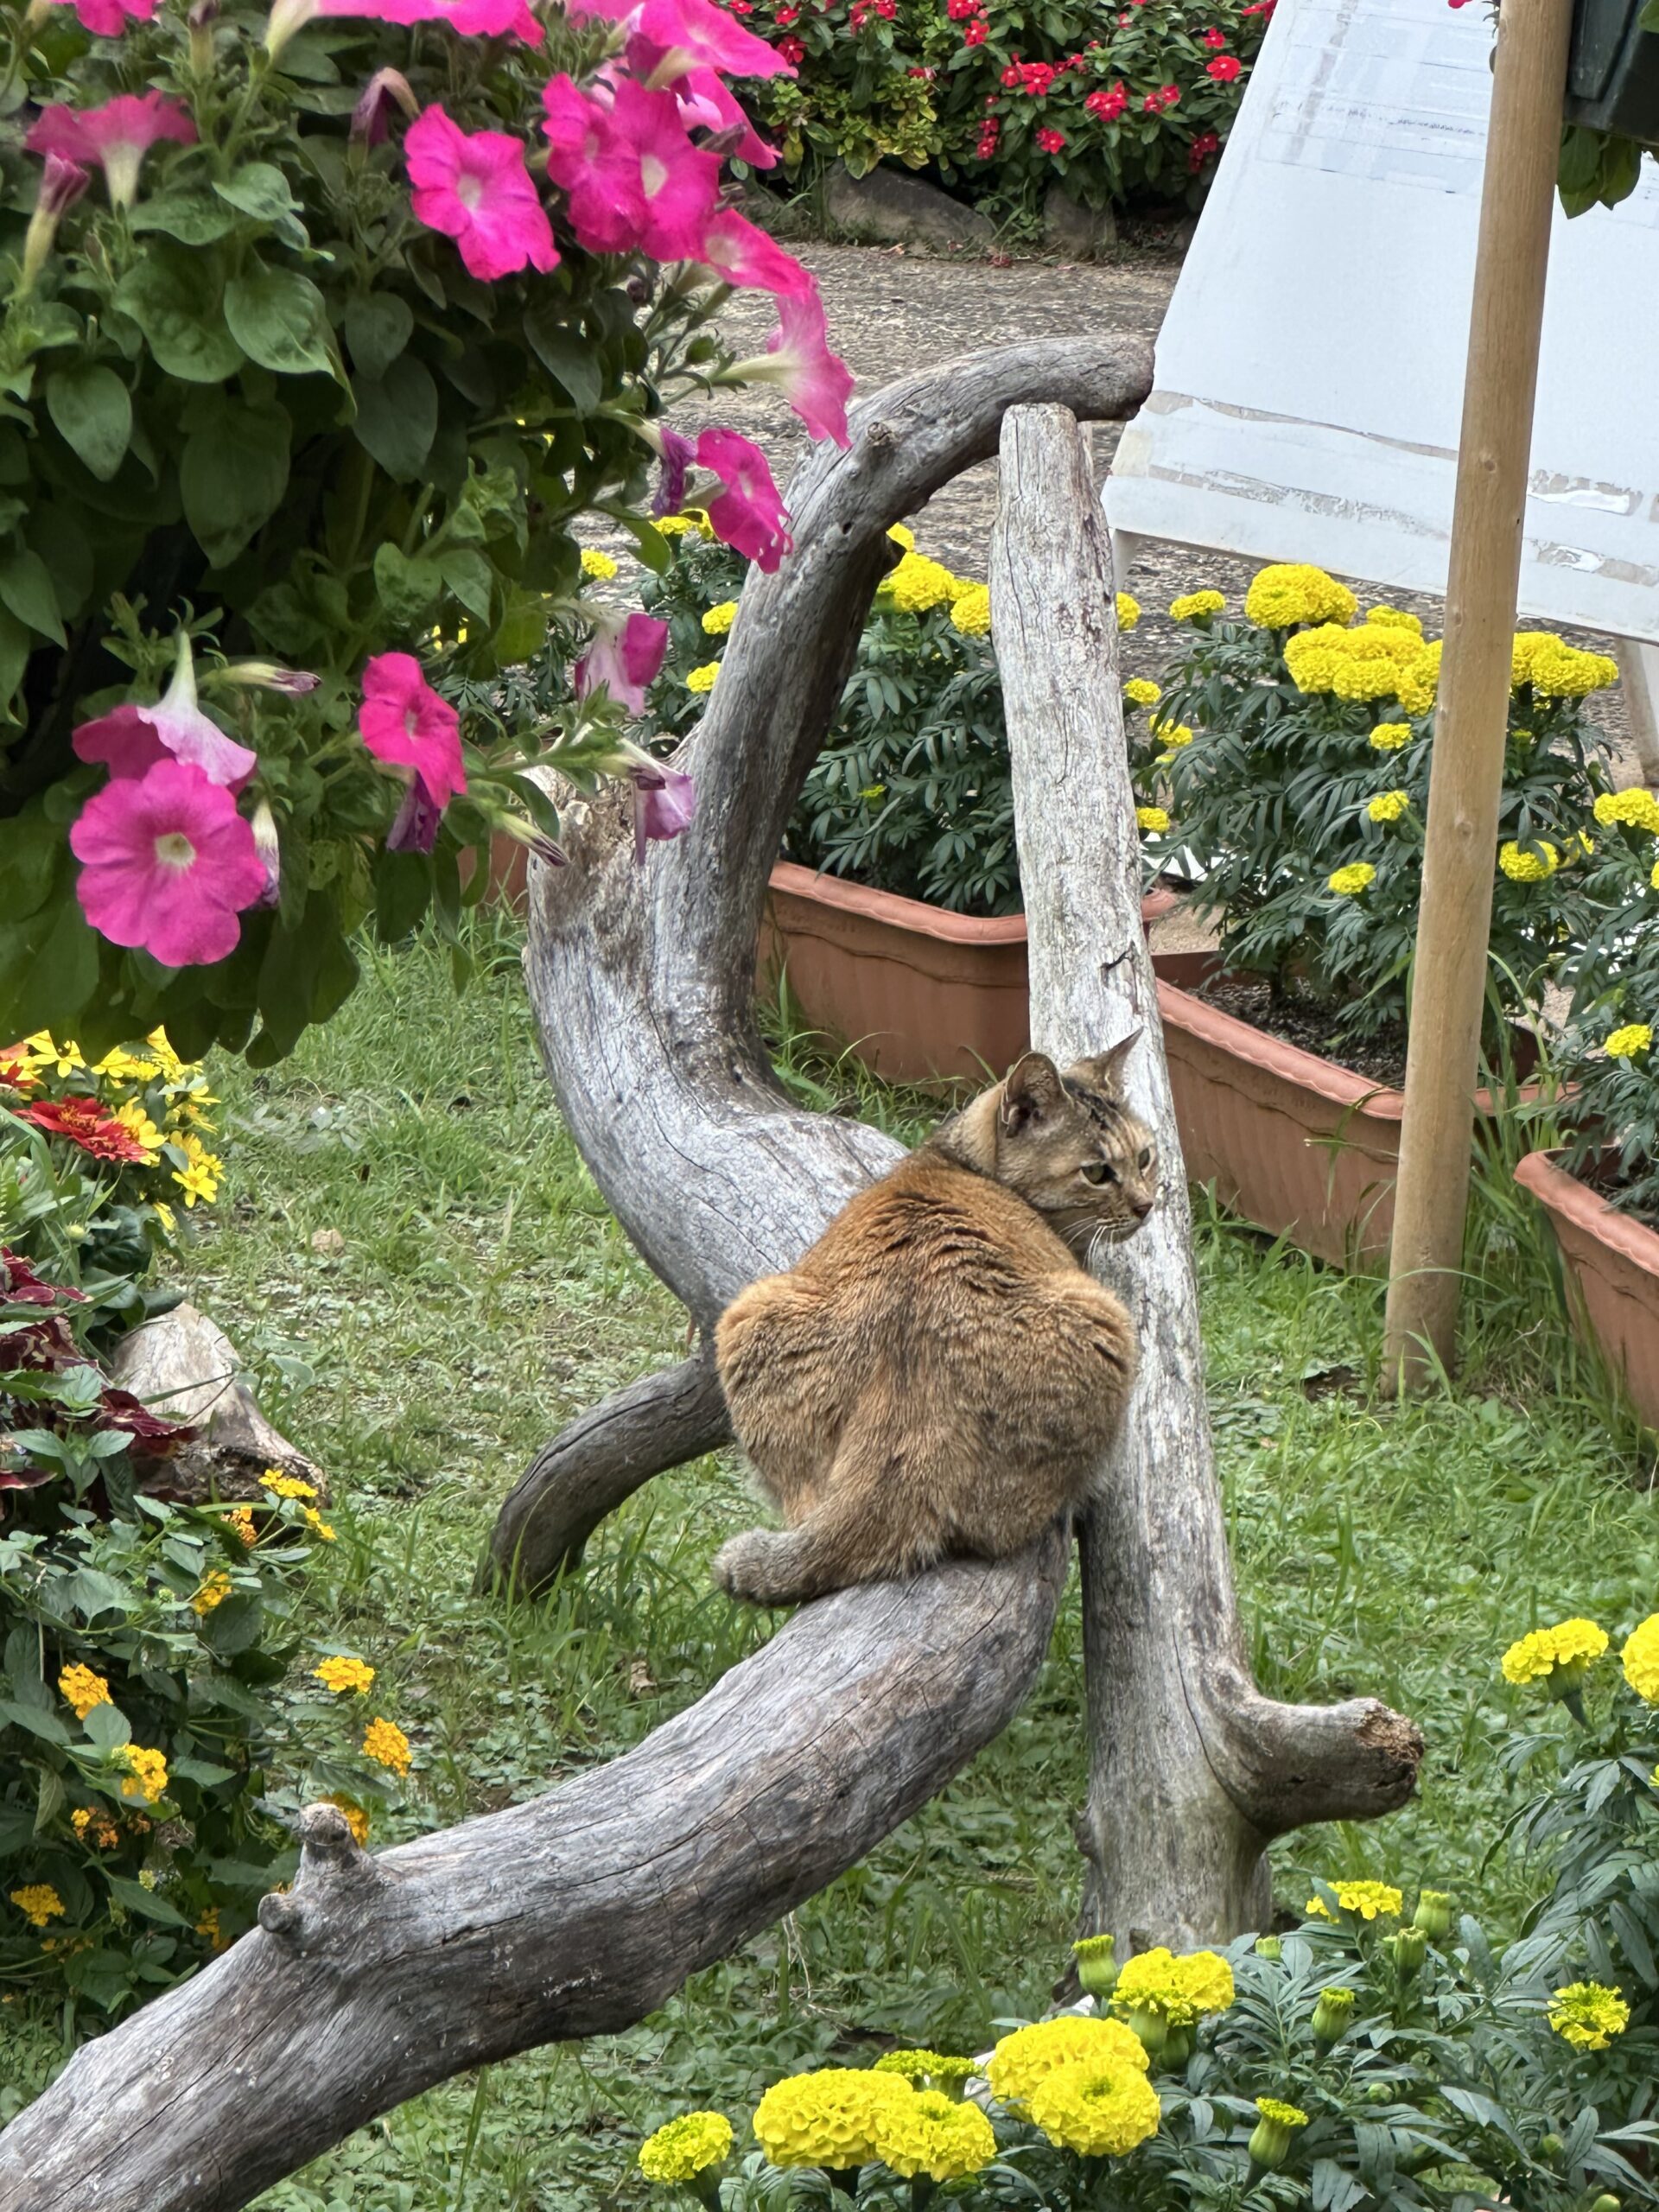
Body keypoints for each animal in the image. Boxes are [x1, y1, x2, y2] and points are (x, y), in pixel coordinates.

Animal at [711, 1035, 1159, 1607]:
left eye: (1145, 1157)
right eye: (1098, 1172)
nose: (1147, 1204)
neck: (958, 1163)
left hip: (750, 1310)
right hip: (1107, 1320)